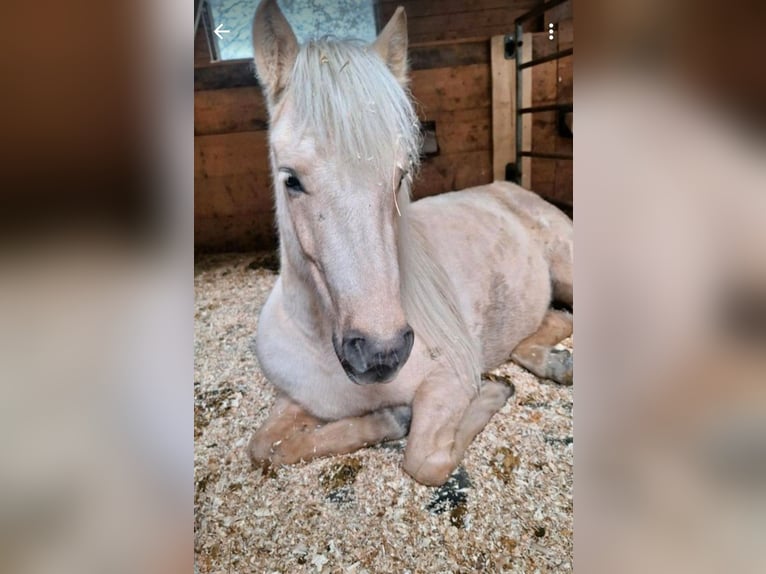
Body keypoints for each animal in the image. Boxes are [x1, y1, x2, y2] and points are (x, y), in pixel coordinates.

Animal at [249, 0, 572, 488]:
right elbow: (265, 448)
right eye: (291, 179)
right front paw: (388, 419)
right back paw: (554, 363)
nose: (380, 352)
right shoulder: (300, 400)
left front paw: (489, 394)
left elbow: (423, 460)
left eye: (400, 175)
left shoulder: (449, 382)